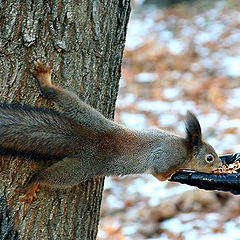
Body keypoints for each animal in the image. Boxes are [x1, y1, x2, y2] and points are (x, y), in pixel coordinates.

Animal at [0, 62, 222, 202]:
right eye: (209, 158)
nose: (220, 165)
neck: (184, 148)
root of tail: (94, 139)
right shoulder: (166, 159)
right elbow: (160, 175)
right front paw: (173, 174)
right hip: (82, 167)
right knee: (51, 177)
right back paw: (34, 183)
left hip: (89, 117)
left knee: (62, 98)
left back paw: (46, 84)